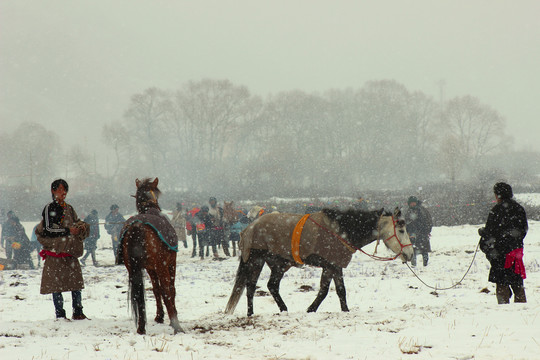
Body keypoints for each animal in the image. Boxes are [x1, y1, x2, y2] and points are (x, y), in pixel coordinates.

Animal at [121, 177, 184, 334]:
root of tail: (137, 226)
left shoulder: (150, 268)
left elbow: (156, 290)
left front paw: (159, 316)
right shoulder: (170, 263)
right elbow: (170, 290)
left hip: (133, 268)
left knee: (139, 295)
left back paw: (141, 327)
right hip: (162, 267)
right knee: (167, 291)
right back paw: (177, 325)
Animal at [224, 207, 414, 316]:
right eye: (401, 230)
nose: (410, 254)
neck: (342, 230)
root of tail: (250, 227)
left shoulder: (335, 266)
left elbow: (337, 290)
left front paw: (344, 310)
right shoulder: (331, 265)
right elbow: (327, 291)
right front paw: (311, 309)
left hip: (277, 264)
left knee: (270, 285)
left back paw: (281, 309)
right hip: (256, 260)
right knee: (251, 286)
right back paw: (252, 313)